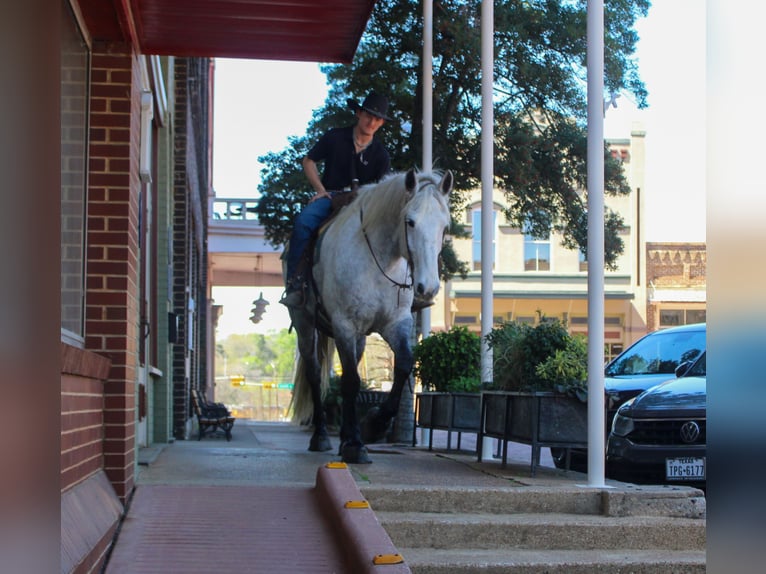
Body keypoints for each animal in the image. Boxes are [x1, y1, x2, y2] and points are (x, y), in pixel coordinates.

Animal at [288, 168, 453, 464]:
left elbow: (403, 365)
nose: (428, 287)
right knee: (315, 373)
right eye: (410, 222)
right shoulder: (344, 325)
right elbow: (351, 381)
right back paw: (321, 436)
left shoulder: (396, 323)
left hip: (360, 337)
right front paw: (355, 444)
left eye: (444, 227)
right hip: (305, 324)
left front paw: (374, 425)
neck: (379, 260)